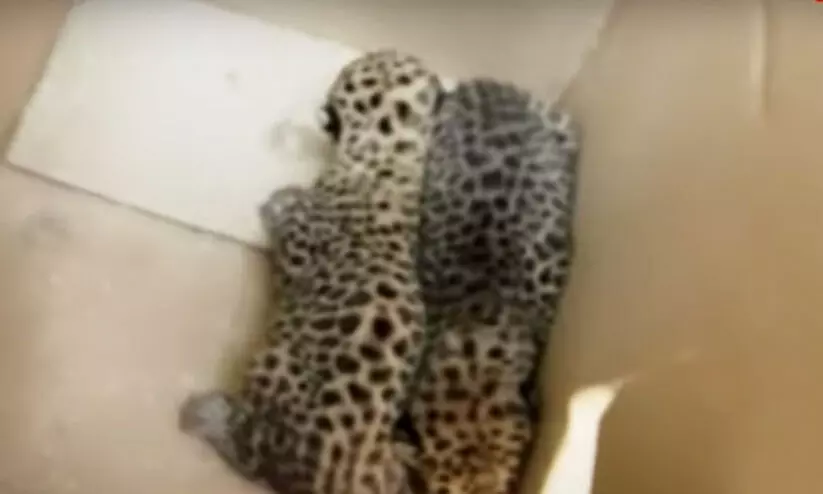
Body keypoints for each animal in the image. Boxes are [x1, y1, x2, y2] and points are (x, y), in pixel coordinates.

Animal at [178, 49, 445, 494]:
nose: (360, 56)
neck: (391, 155)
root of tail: (341, 475)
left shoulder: (301, 241)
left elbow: (286, 219)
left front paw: (279, 200)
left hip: (270, 375)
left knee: (251, 454)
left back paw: (205, 413)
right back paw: (404, 454)